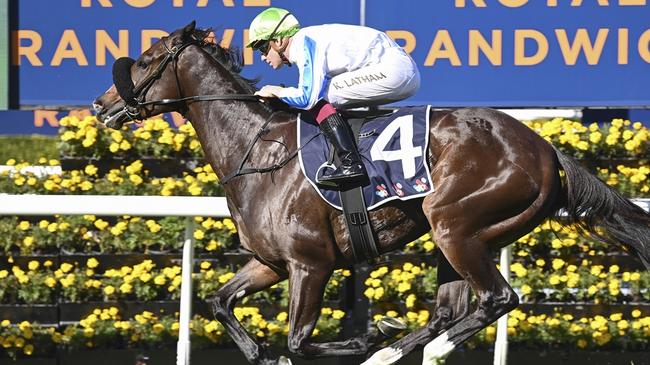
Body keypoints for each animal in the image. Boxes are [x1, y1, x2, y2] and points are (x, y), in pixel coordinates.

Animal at [92, 22, 648, 362]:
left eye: (145, 60)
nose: (99, 105)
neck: (259, 152)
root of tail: (544, 147)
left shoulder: (310, 263)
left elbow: (299, 341)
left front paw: (370, 333)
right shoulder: (270, 262)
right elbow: (220, 303)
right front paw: (262, 352)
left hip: (455, 222)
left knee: (497, 297)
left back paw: (407, 348)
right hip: (459, 233)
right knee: (450, 309)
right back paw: (402, 349)